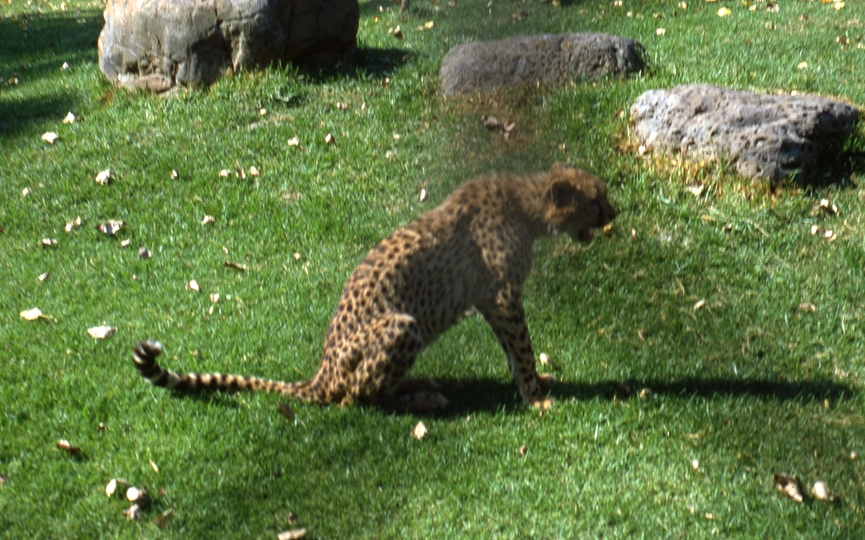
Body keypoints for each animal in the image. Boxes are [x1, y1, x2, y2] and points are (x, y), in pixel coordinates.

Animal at [133, 162, 616, 412]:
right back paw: (417, 400)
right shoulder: (502, 296)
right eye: (597, 199)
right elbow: (523, 348)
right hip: (402, 325)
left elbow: (513, 352)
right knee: (354, 400)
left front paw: (532, 384)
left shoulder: (489, 300)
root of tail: (319, 374)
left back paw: (417, 387)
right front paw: (536, 397)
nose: (615, 213)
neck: (527, 206)